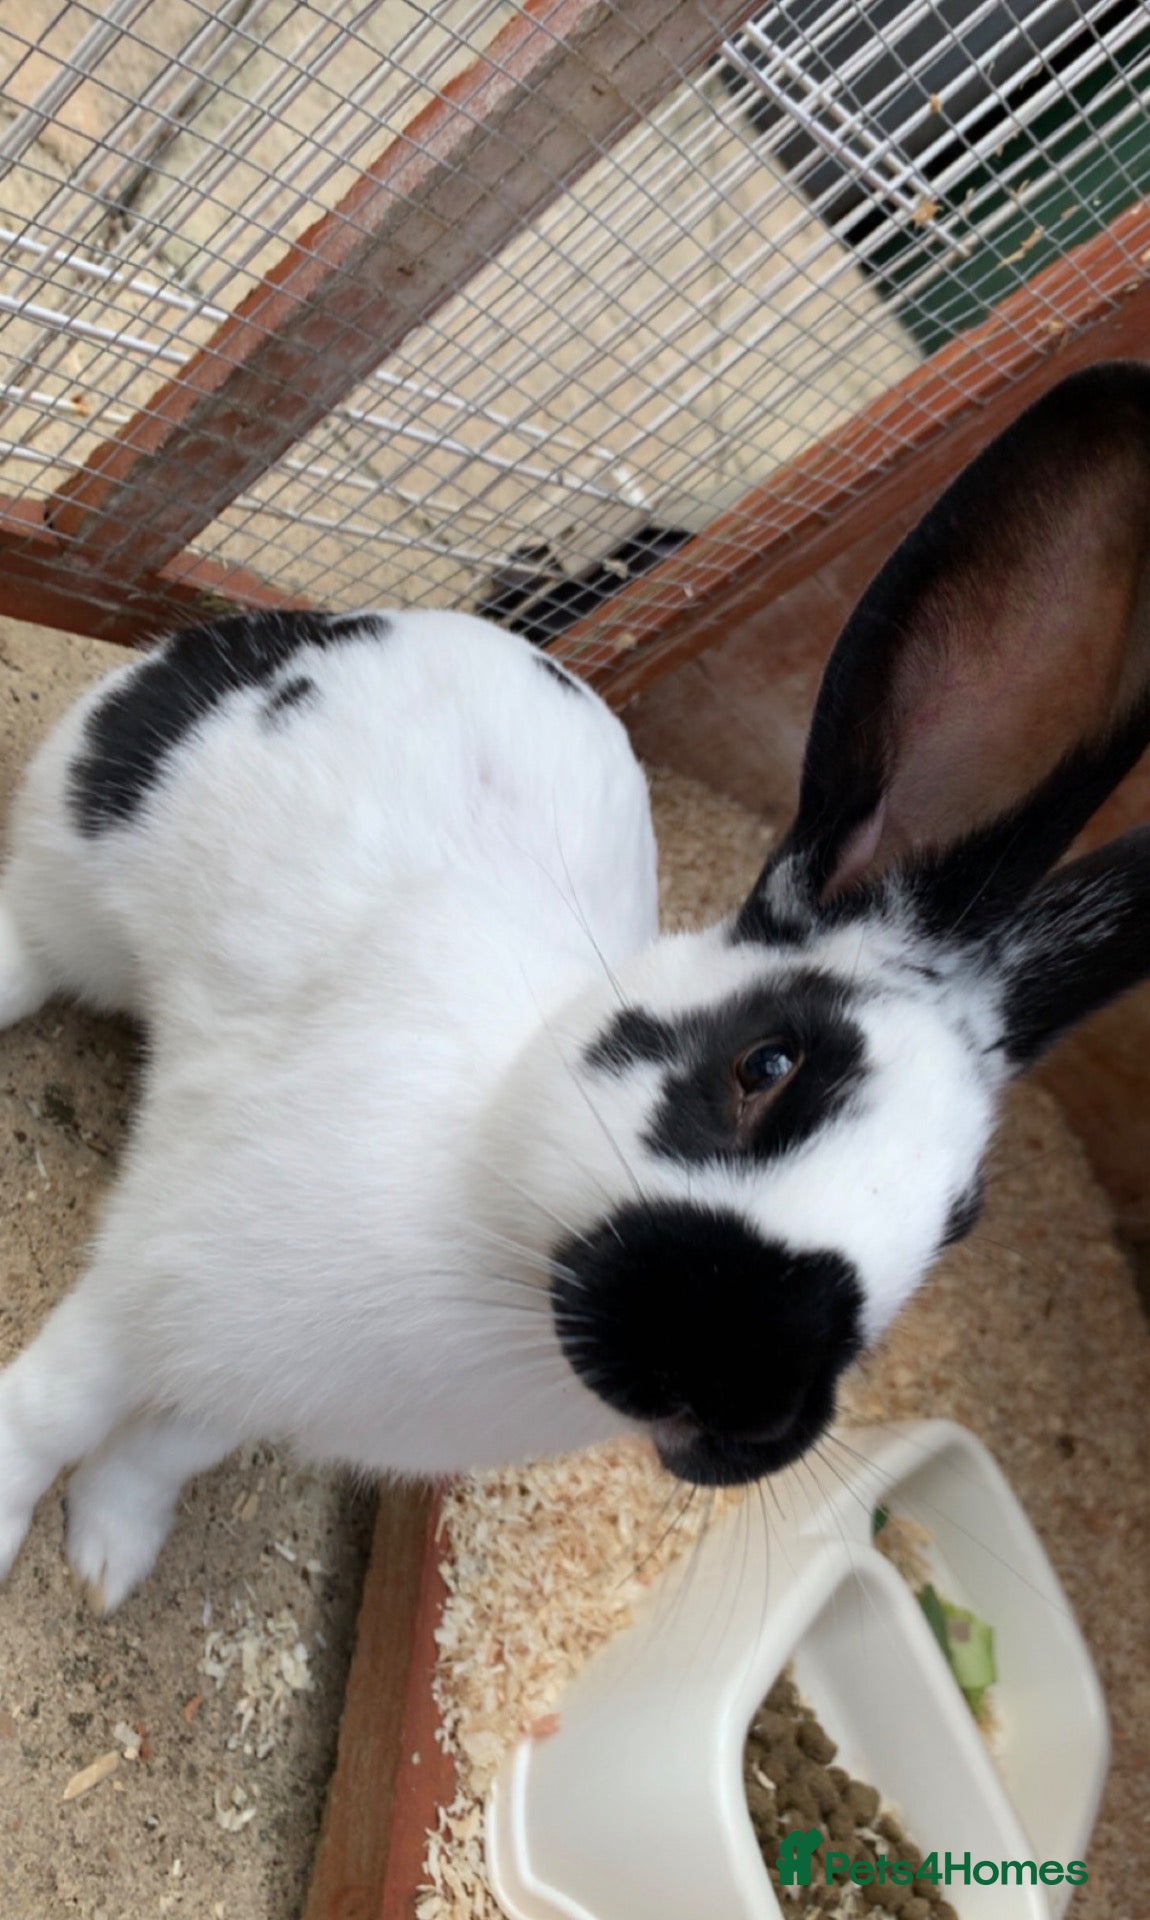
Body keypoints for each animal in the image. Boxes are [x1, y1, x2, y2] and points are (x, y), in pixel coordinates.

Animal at [2, 361, 1150, 1613]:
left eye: (960, 1223)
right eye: (766, 1063)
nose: (746, 1397)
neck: (497, 1259)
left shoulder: (235, 1386)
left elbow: (157, 1454)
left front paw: (109, 1555)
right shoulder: (152, 1281)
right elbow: (53, 1410)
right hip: (78, 871)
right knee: (29, 937)